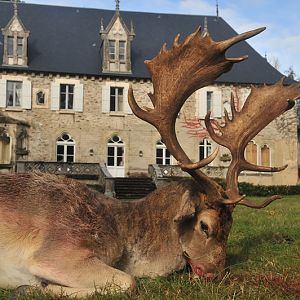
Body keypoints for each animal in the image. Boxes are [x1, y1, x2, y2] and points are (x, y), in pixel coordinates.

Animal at [0, 26, 300, 298]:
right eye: (205, 225)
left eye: (230, 227)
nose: (213, 275)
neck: (123, 233)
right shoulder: (57, 251)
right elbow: (128, 282)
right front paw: (30, 286)